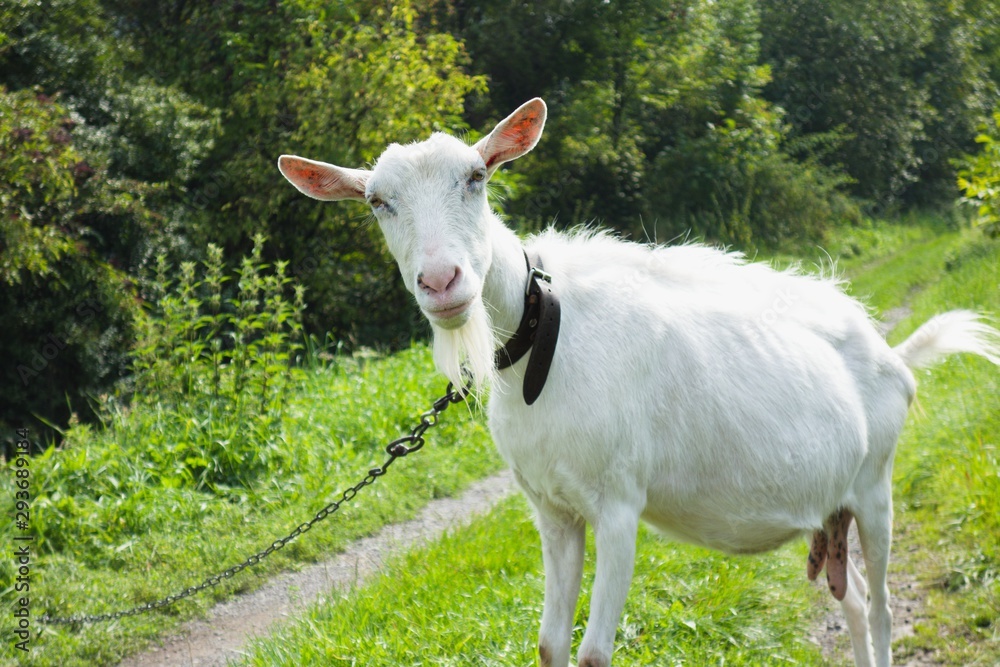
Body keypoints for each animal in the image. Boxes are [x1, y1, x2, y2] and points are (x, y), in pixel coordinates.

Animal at [278, 98, 1000, 667]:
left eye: (477, 177)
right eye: (378, 201)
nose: (441, 281)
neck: (544, 340)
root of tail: (890, 352)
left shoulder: (619, 504)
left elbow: (595, 653)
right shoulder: (552, 510)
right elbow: (549, 645)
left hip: (876, 487)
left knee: (880, 610)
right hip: (830, 506)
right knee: (850, 604)